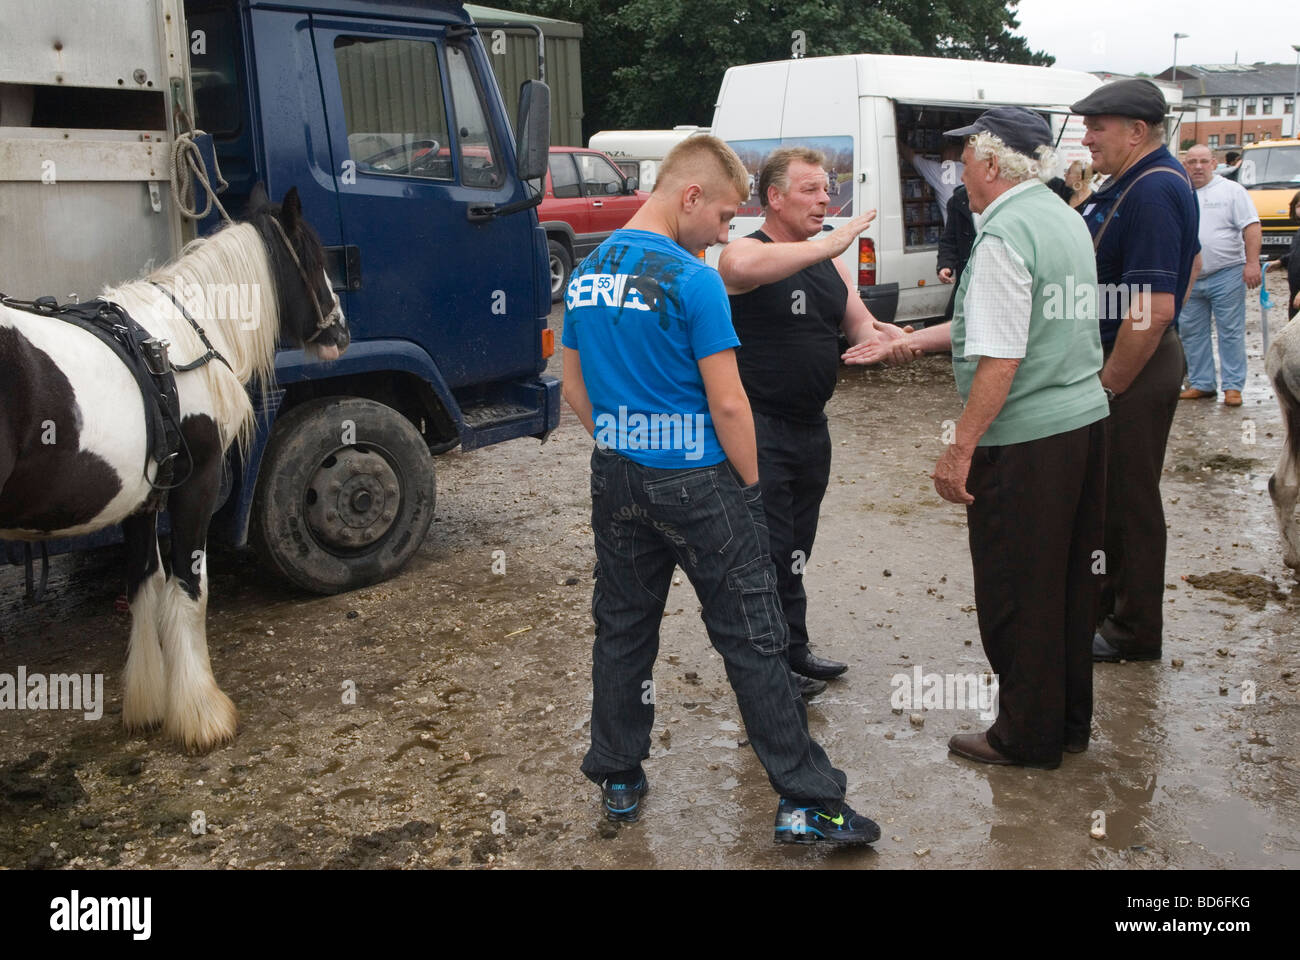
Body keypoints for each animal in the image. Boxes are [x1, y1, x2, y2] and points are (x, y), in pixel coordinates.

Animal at [0, 184, 348, 749]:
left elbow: (144, 587)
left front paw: (147, 704)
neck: (176, 343)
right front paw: (201, 716)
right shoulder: (197, 484)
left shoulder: (144, 498)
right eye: (316, 260)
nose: (340, 332)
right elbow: (189, 589)